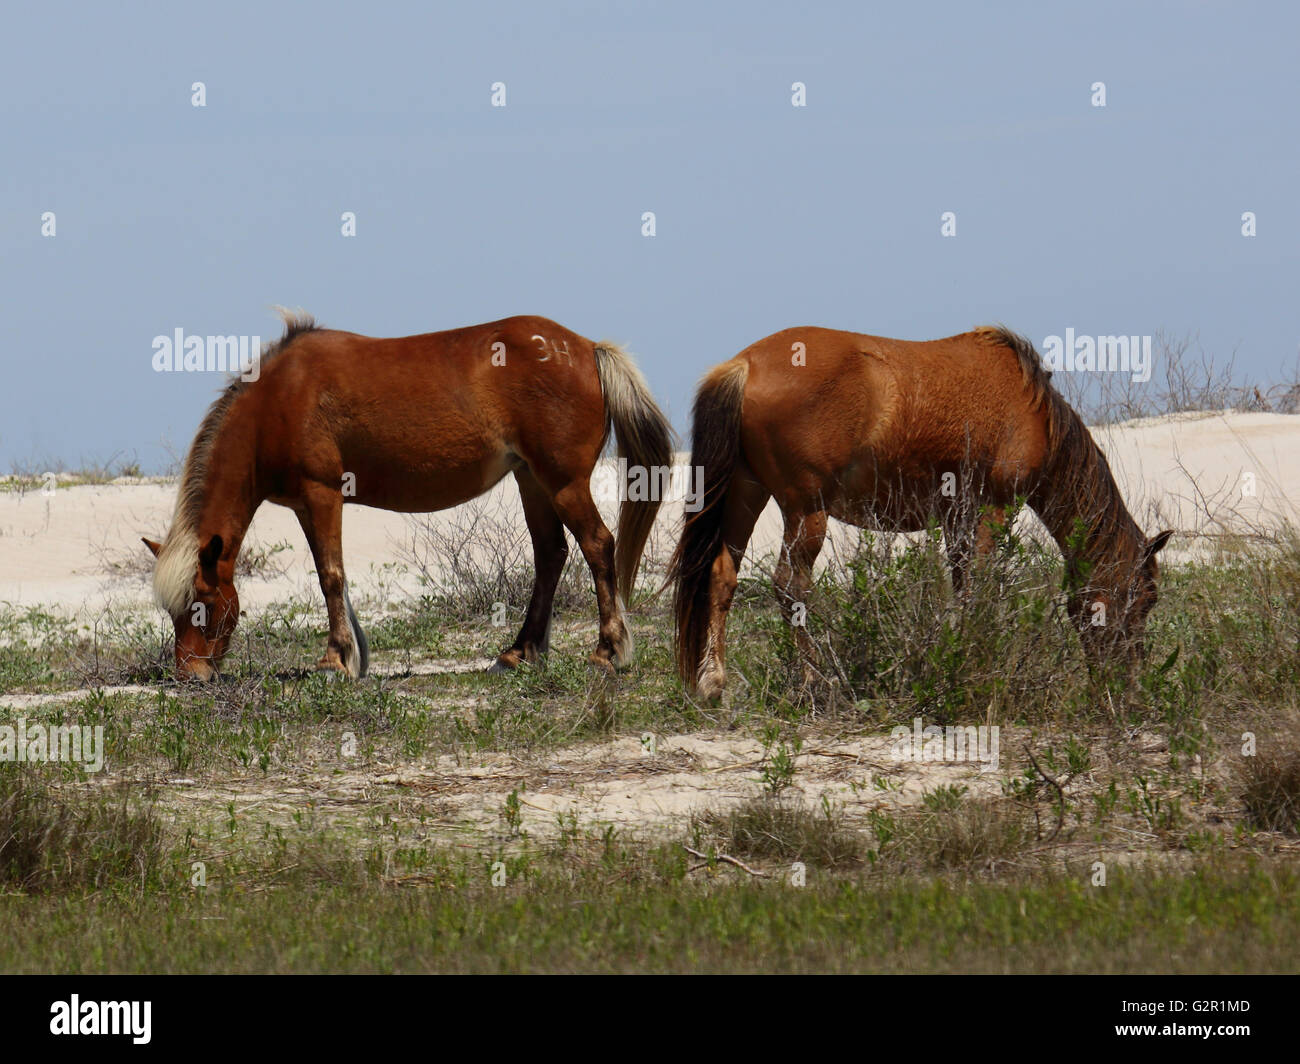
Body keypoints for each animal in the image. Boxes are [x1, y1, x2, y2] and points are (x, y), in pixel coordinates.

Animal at [143, 310, 670, 681]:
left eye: (202, 604)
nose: (190, 673)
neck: (277, 400)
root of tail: (587, 348)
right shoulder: (304, 506)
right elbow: (333, 575)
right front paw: (354, 655)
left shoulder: (322, 494)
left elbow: (330, 577)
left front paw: (335, 661)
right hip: (532, 481)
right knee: (551, 554)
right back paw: (518, 653)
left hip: (563, 483)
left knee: (597, 546)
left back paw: (606, 652)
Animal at [670, 327, 1180, 702]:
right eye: (1146, 597)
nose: (1128, 683)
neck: (1033, 410)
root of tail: (744, 365)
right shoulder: (993, 510)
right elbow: (979, 589)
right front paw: (979, 659)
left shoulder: (957, 519)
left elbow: (963, 585)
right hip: (805, 511)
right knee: (789, 587)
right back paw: (817, 680)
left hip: (744, 495)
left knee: (722, 577)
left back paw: (713, 683)